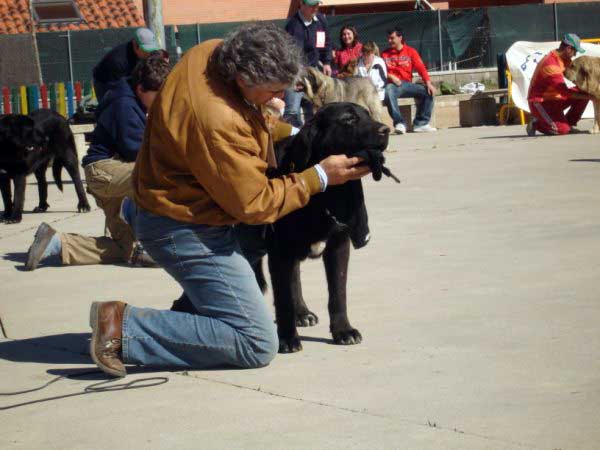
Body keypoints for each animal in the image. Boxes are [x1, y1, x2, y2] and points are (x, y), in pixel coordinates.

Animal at [260, 102, 392, 352]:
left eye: (368, 115)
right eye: (348, 119)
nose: (386, 130)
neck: (328, 194)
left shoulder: (338, 245)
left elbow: (338, 294)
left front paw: (343, 331)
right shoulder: (280, 251)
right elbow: (283, 299)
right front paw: (287, 338)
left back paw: (302, 313)